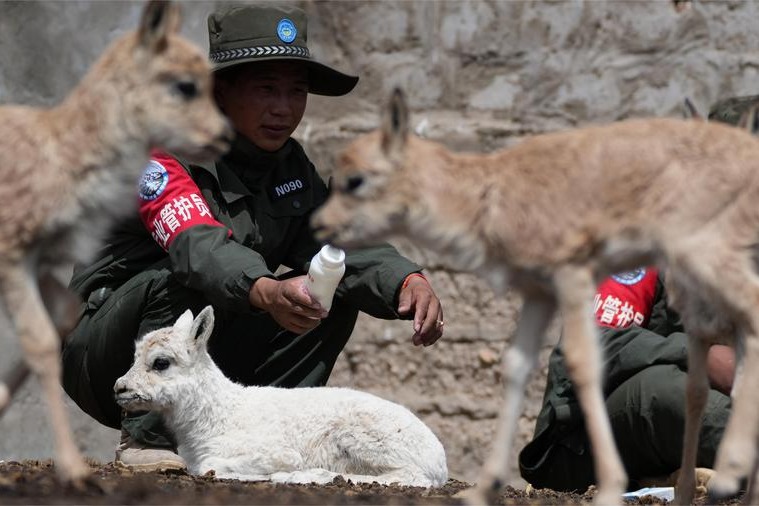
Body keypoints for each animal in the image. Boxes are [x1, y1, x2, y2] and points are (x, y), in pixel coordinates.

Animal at [0, 0, 232, 482]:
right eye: (185, 84)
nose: (224, 135)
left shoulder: (41, 258)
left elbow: (63, 315)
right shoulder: (11, 248)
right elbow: (38, 339)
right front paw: (73, 470)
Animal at [112, 306, 446, 488]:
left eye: (161, 362)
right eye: (135, 355)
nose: (119, 388)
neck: (219, 413)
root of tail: (439, 461)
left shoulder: (273, 451)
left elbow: (211, 467)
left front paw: (270, 476)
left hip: (369, 439)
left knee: (412, 477)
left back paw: (304, 477)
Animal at [314, 89, 759, 504]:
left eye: (355, 179)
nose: (318, 225)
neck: (491, 196)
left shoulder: (572, 272)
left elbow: (583, 362)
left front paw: (610, 489)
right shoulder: (538, 291)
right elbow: (515, 365)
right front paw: (480, 491)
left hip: (702, 256)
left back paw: (727, 475)